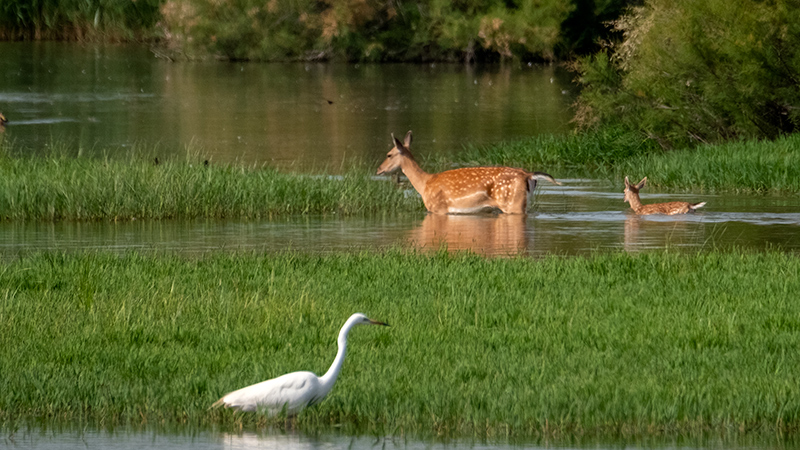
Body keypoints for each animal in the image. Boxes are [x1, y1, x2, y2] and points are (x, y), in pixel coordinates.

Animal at [376, 131, 560, 215]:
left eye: (389, 154)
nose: (378, 169)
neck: (425, 184)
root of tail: (529, 175)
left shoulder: (438, 208)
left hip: (513, 202)